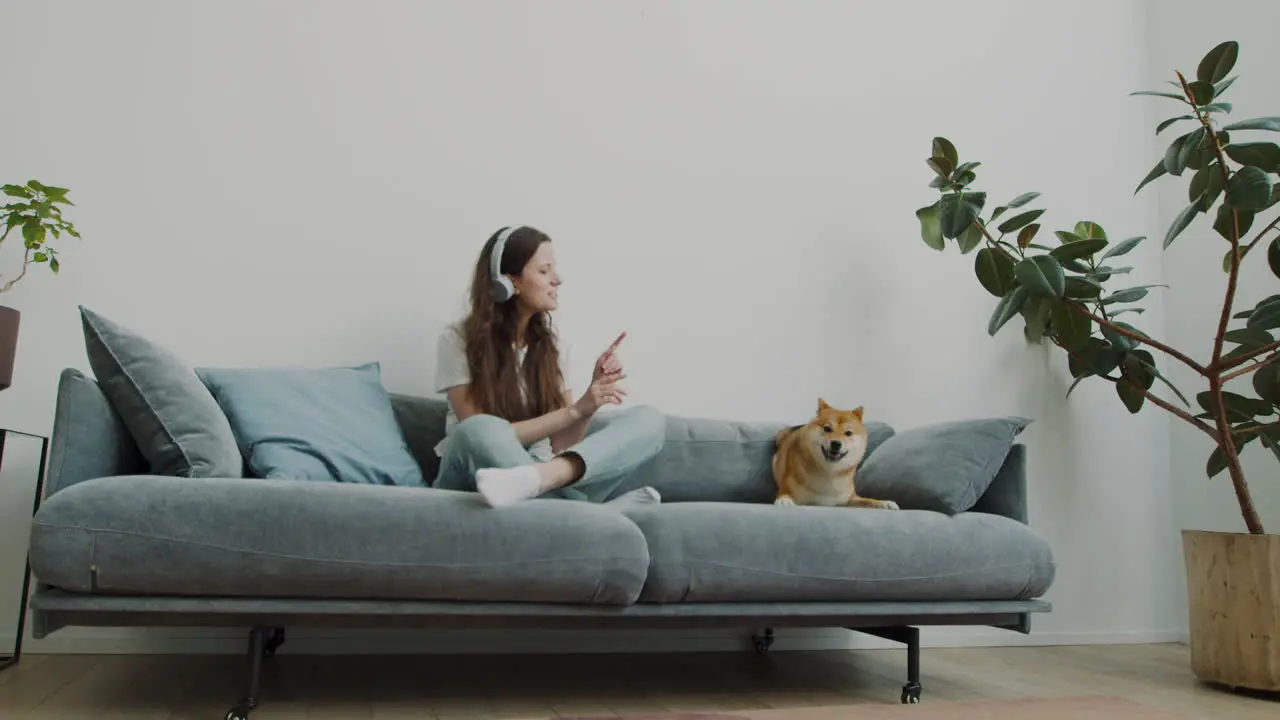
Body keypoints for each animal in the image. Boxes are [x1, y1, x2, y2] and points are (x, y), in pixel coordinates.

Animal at [768, 397, 901, 509]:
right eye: (827, 429)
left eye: (848, 433)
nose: (836, 443)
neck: (829, 472)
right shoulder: (788, 487)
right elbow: (785, 493)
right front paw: (784, 500)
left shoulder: (849, 499)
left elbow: (868, 500)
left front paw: (884, 503)